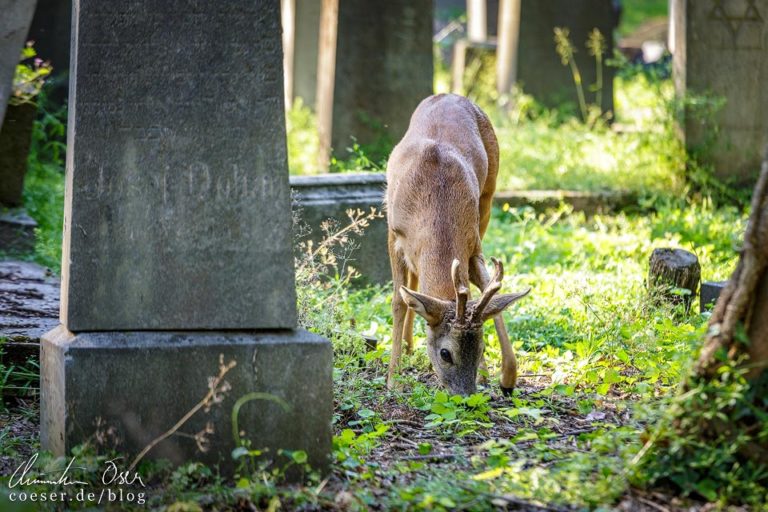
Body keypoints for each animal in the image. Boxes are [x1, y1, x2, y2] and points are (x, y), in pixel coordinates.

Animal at [384, 95, 528, 396]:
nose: (465, 396)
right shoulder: (394, 232)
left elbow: (486, 288)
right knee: (411, 284)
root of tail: (449, 95)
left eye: (481, 347)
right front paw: (393, 379)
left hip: (488, 196)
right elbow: (398, 301)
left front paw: (503, 375)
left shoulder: (473, 242)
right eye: (445, 354)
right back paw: (407, 346)